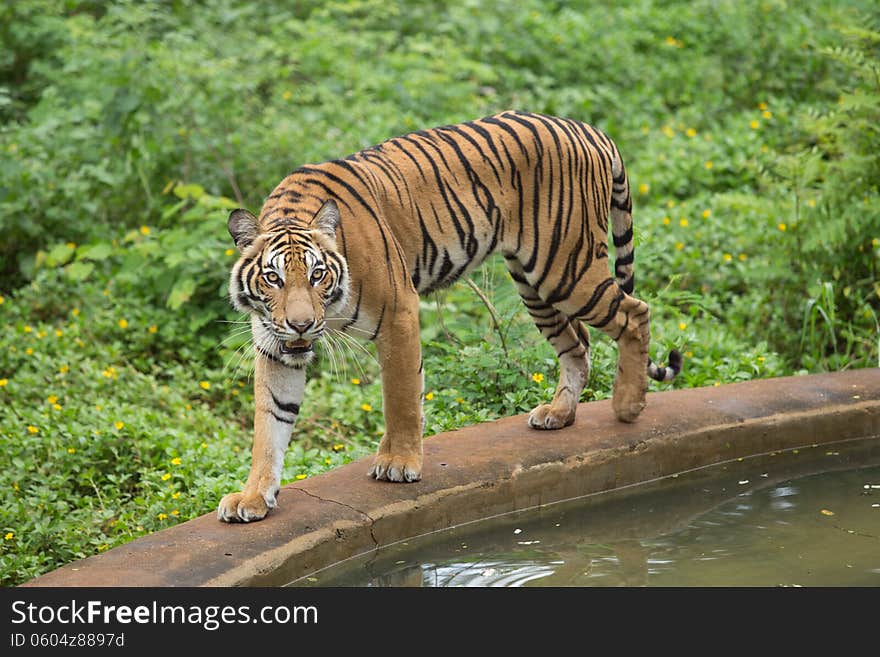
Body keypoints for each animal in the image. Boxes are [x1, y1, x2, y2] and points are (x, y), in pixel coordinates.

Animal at [218, 111, 680, 524]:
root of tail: (589, 129)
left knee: (635, 313)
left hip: (566, 268)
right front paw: (253, 496)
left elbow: (401, 398)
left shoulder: (399, 313)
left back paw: (628, 406)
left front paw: (399, 462)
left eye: (317, 275)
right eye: (274, 278)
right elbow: (270, 424)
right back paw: (559, 414)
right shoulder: (274, 346)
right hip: (534, 282)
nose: (300, 325)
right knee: (579, 344)